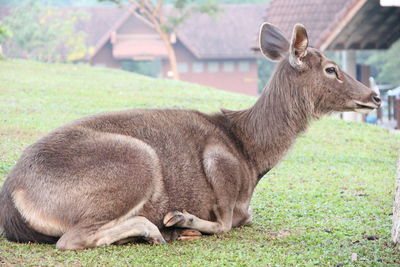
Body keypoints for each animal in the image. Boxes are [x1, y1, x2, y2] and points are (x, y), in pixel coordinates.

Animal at [0, 23, 382, 251]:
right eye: (331, 69)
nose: (375, 97)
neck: (251, 155)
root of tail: (12, 197)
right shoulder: (220, 163)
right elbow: (230, 221)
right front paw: (182, 220)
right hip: (136, 160)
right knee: (71, 239)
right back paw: (156, 228)